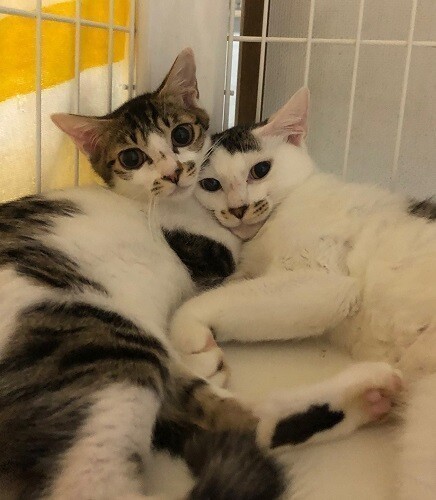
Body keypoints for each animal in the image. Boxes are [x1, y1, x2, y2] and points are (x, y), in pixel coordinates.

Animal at [169, 86, 436, 499]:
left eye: (260, 170)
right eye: (210, 184)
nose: (239, 208)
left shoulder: (322, 280)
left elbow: (205, 302)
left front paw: (191, 335)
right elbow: (230, 286)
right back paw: (369, 396)